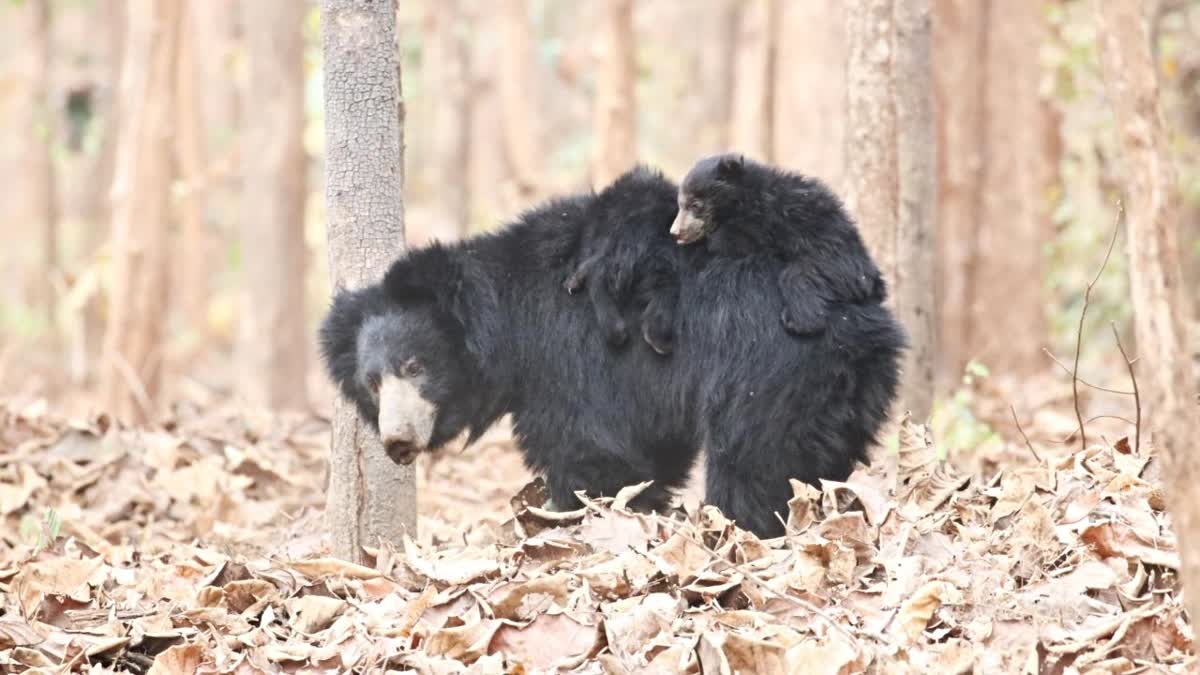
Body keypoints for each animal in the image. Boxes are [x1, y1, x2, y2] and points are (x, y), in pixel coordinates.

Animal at [318, 166, 906, 538]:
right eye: (372, 382)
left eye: (416, 366)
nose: (398, 441)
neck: (507, 325)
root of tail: (860, 312)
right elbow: (650, 452)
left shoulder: (572, 358)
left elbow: (593, 450)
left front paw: (578, 520)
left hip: (770, 371)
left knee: (756, 460)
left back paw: (747, 529)